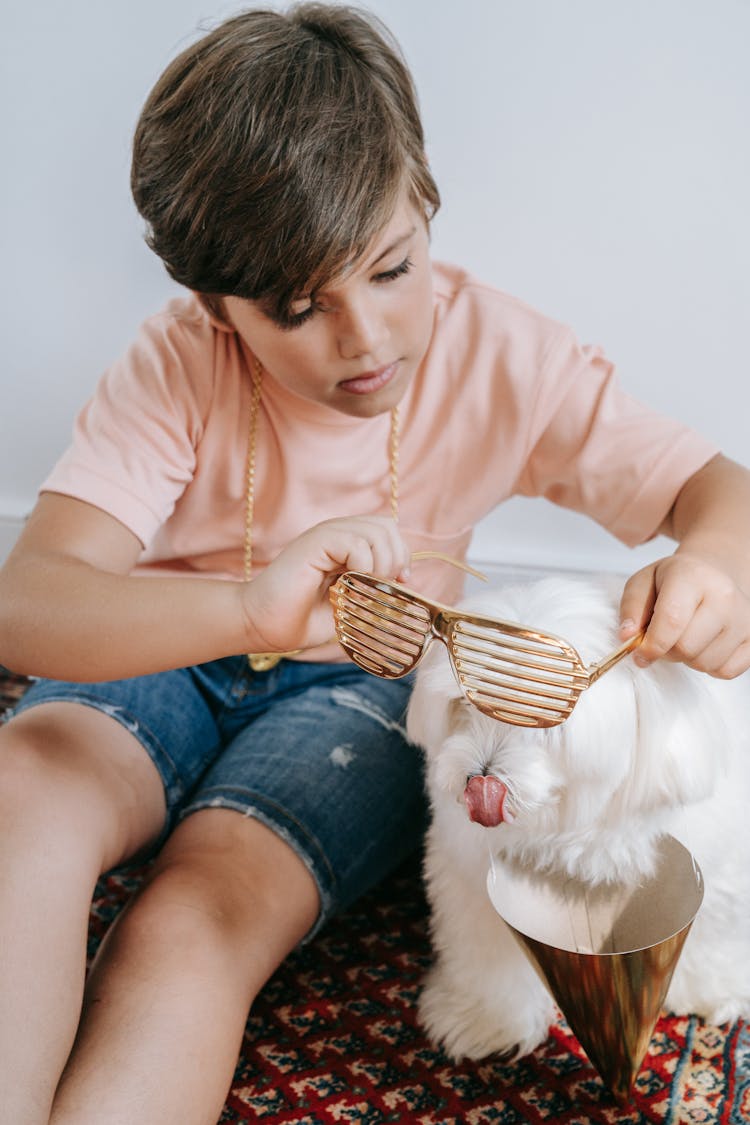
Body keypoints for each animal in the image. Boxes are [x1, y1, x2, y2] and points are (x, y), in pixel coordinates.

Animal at [407, 576, 750, 1057]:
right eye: (466, 704)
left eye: (543, 719)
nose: (480, 783)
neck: (571, 825)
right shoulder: (473, 877)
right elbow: (485, 952)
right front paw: (485, 1020)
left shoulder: (713, 863)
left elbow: (713, 929)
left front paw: (711, 990)